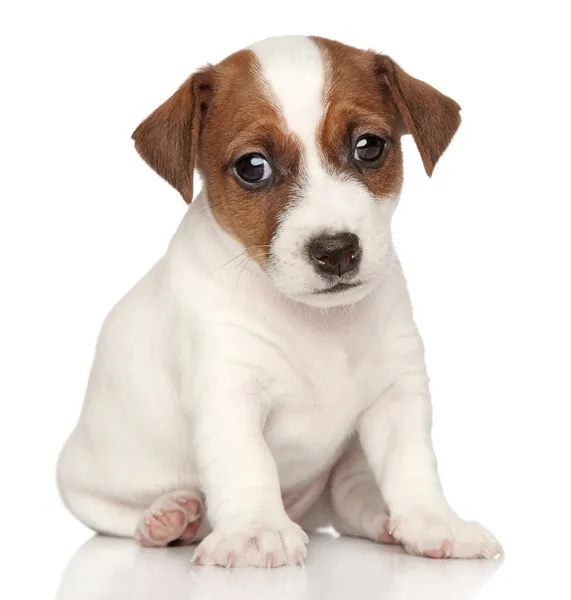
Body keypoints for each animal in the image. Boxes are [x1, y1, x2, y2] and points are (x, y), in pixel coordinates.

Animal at [58, 34, 502, 568]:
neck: (319, 323)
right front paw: (256, 530)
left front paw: (434, 522)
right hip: (87, 489)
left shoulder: (397, 392)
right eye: (254, 167)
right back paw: (166, 519)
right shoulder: (228, 391)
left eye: (369, 147)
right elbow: (246, 463)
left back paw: (383, 520)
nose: (336, 250)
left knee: (351, 500)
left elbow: (413, 465)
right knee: (123, 518)